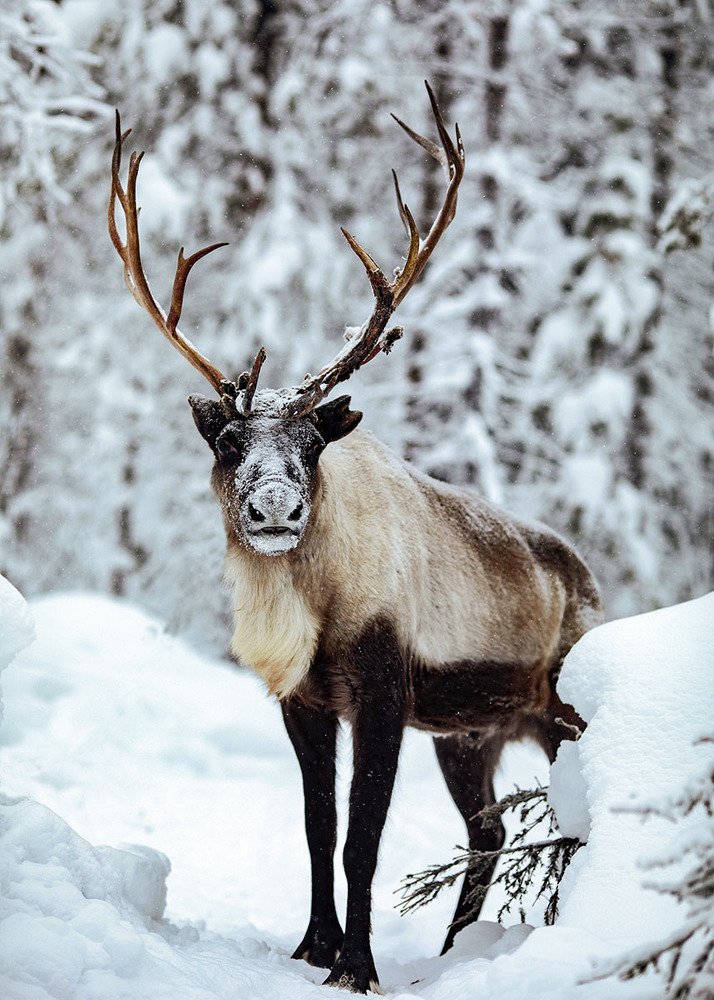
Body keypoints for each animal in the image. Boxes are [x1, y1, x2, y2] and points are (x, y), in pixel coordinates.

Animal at [109, 84, 603, 994]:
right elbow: (317, 827)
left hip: (559, 711)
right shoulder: (305, 702)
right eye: (229, 442)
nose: (274, 508)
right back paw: (450, 954)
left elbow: (362, 837)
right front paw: (313, 946)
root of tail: (588, 579)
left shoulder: (383, 693)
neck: (320, 606)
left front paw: (359, 965)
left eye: (311, 444)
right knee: (489, 832)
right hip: (472, 734)